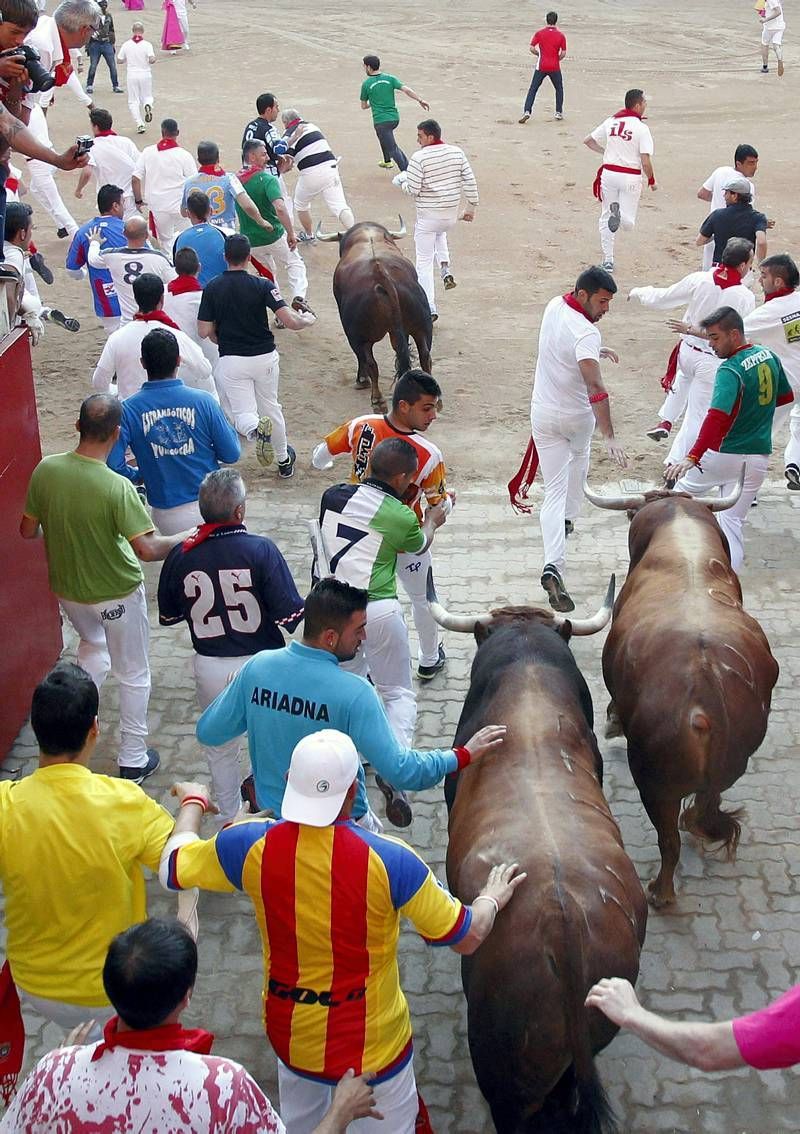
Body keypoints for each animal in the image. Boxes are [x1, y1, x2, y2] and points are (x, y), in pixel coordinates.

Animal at [317, 218, 431, 415]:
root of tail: (380, 274)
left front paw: (362, 381)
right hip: (422, 326)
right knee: (425, 355)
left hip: (359, 335)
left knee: (369, 362)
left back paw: (375, 398)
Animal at [585, 483, 776, 907]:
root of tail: (706, 691)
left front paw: (612, 722)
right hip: (729, 767)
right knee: (706, 805)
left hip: (654, 784)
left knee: (668, 840)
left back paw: (661, 892)